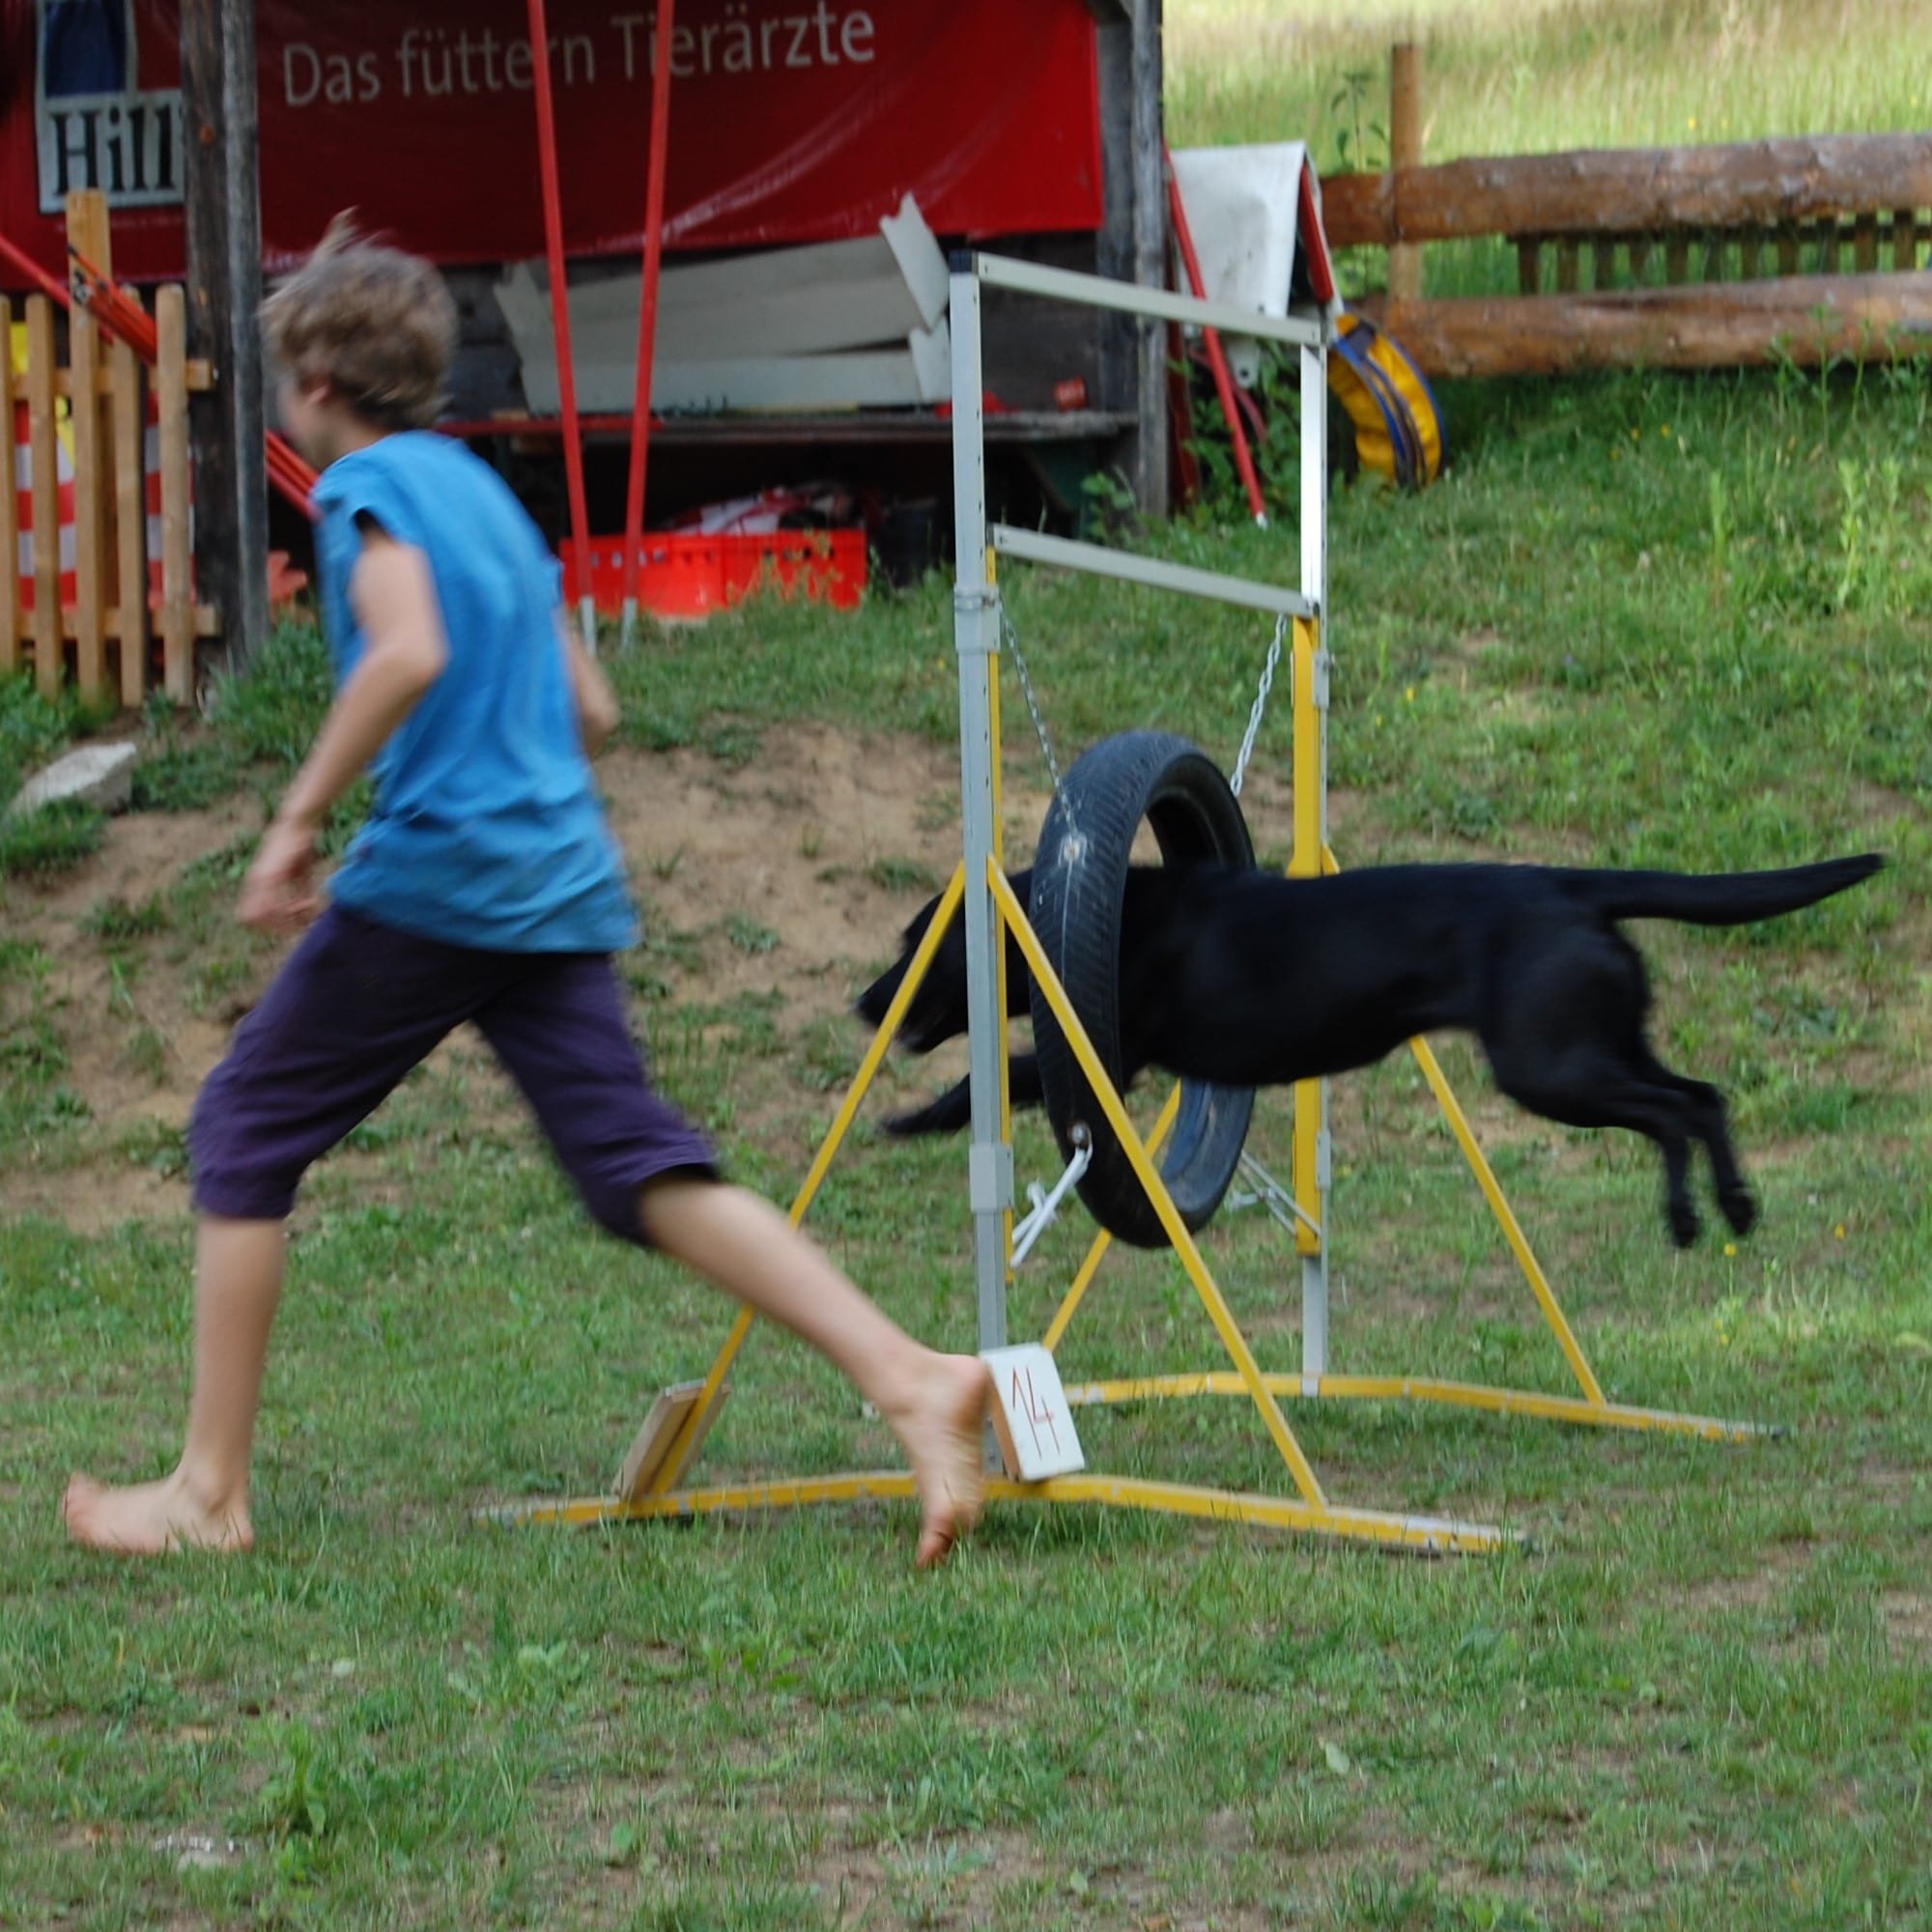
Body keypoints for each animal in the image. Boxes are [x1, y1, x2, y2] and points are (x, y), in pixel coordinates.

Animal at [862, 854, 1886, 1244]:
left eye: (917, 943)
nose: (867, 1001)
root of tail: (1568, 887)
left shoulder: (1106, 1057)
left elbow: (989, 1079)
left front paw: (909, 1119)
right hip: (1598, 1044)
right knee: (1704, 1095)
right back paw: (1735, 1207)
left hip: (1551, 1066)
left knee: (1674, 1111)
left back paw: (1688, 1217)